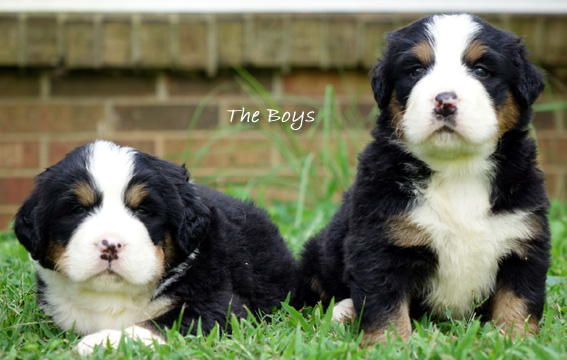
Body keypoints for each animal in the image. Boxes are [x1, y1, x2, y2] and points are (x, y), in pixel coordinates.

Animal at [13, 140, 298, 354]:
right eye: (78, 210)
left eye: (142, 211)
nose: (110, 245)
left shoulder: (219, 304)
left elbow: (160, 324)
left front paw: (102, 342)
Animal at [300, 14, 552, 346]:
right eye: (416, 70)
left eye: (481, 71)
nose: (445, 101)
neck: (457, 170)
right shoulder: (380, 244)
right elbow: (386, 307)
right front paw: (388, 346)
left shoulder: (523, 240)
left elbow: (517, 302)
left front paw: (515, 342)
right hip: (318, 252)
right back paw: (345, 310)